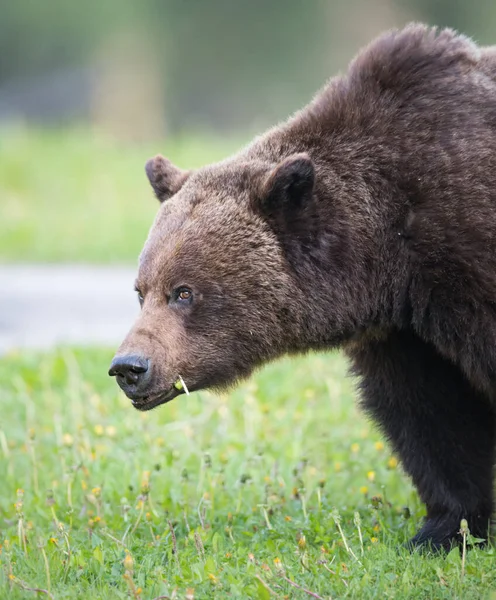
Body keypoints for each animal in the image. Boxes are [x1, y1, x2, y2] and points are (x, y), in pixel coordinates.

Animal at [109, 23, 496, 552]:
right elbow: (433, 416)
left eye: (184, 292)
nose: (129, 367)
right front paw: (446, 528)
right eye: (140, 290)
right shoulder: (403, 334)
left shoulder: (467, 255)